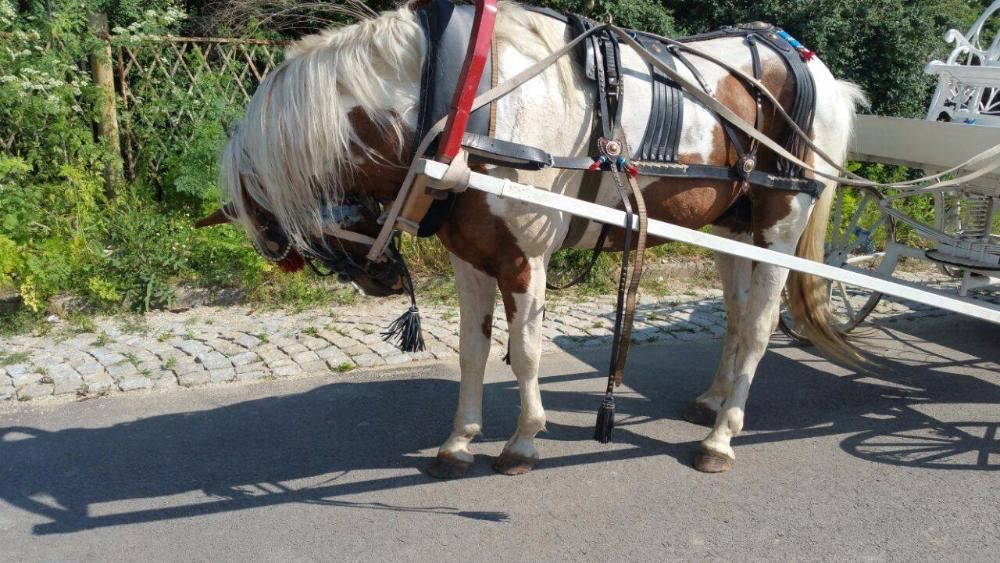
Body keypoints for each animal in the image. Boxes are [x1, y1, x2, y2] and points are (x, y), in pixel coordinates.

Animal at [201, 1, 868, 476]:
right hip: (733, 227)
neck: (462, 98)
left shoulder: (524, 258)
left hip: (779, 222)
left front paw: (522, 443)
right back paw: (710, 399)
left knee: (759, 325)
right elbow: (472, 350)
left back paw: (722, 435)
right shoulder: (471, 257)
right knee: (735, 315)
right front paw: (458, 442)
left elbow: (524, 352)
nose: (379, 277)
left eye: (267, 224)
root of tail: (813, 65)